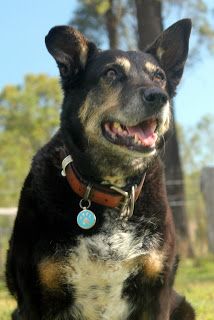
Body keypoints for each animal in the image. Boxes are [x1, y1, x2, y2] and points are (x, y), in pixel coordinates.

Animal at [5, 18, 195, 318]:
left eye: (159, 77)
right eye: (111, 72)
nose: (158, 96)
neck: (109, 191)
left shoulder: (157, 292)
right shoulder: (35, 298)